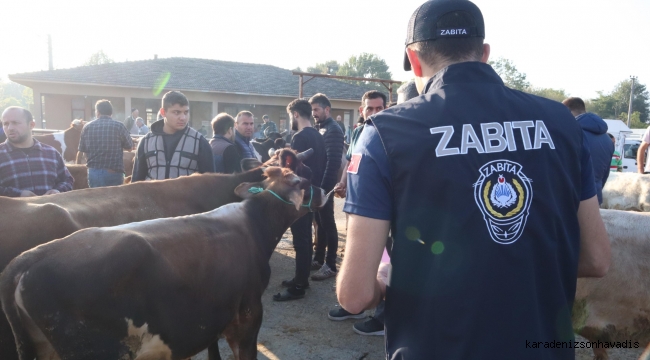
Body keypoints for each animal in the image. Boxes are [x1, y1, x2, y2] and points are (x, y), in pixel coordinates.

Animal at [0, 166, 326, 360]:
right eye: (304, 181)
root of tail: (32, 256)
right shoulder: (247, 317)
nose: (325, 189)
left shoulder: (210, 315)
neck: (253, 224)